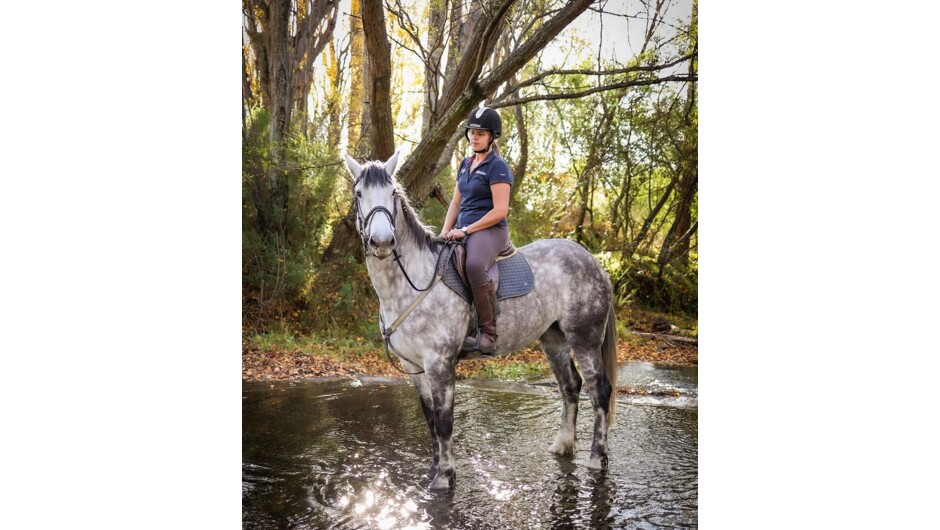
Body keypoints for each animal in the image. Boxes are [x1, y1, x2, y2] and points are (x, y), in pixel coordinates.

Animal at [344, 151, 619, 491]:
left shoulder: (439, 363)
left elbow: (444, 422)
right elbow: (430, 420)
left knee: (600, 391)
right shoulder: (414, 367)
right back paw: (562, 445)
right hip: (554, 339)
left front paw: (444, 478)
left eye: (392, 194)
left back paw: (596, 459)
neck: (411, 284)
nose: (382, 242)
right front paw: (433, 469)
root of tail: (593, 260)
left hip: (584, 339)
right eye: (359, 195)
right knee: (570, 386)